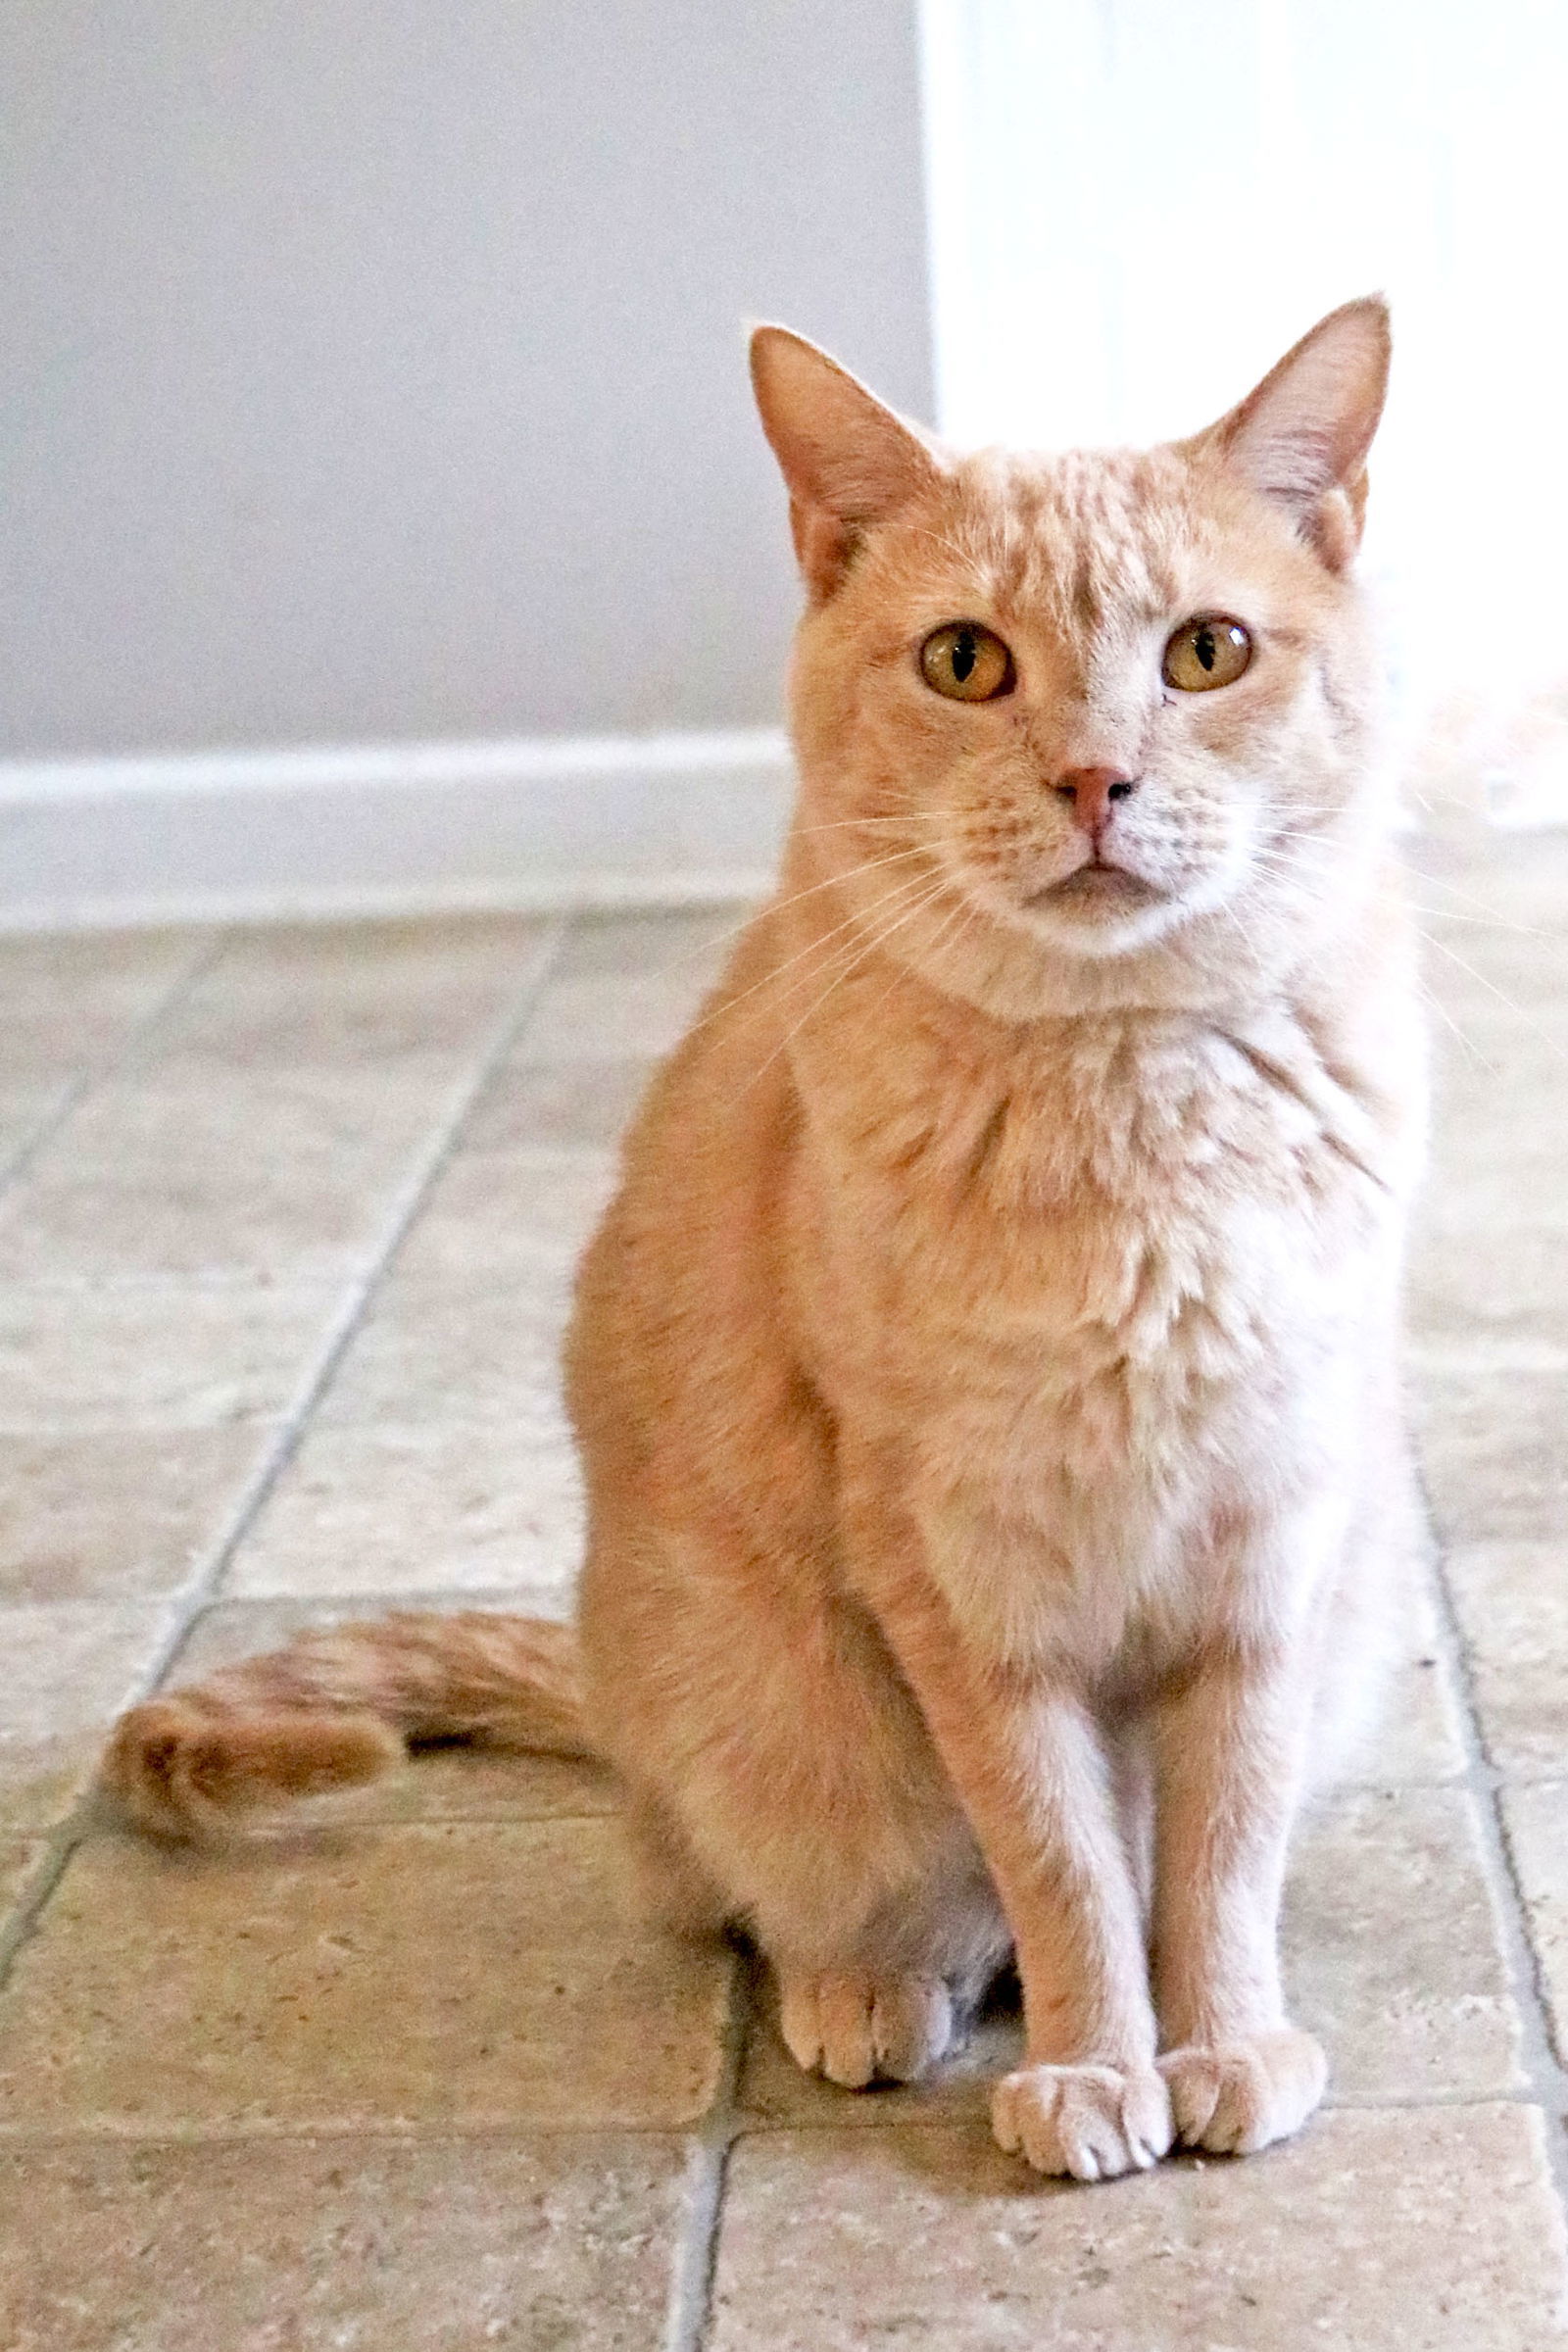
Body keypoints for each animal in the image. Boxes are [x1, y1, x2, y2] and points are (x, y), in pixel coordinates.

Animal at [110, 298, 1429, 2182]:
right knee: (818, 1896)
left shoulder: (1275, 1543)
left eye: (1208, 652)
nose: (1095, 777)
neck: (1131, 1109)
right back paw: (877, 1989)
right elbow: (1063, 1861)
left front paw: (1224, 2039)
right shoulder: (953, 1572)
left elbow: (1218, 1852)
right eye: (965, 662)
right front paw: (1100, 2068)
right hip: (775, 1713)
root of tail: (612, 1699)